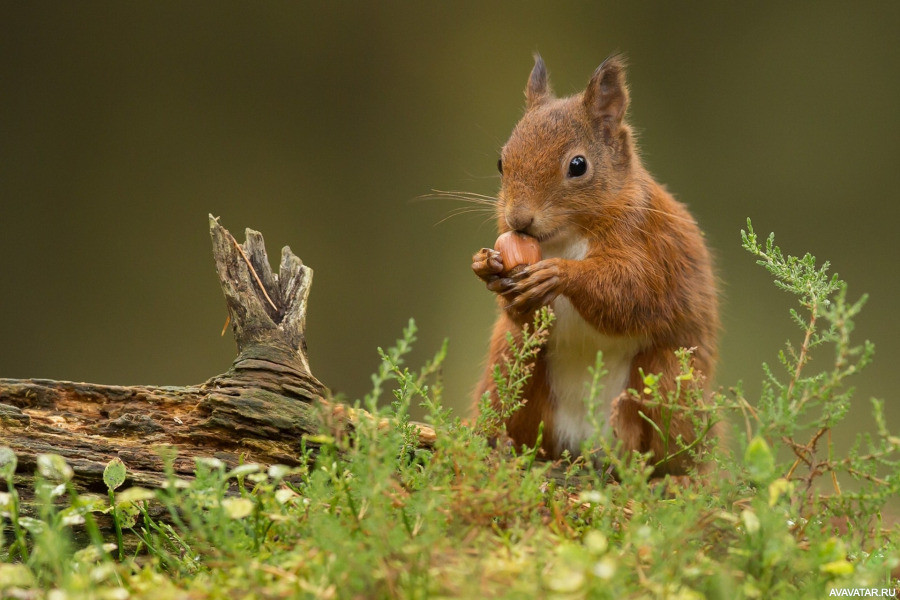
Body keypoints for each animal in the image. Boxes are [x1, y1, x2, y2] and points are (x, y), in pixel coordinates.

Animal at [472, 55, 716, 474]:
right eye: (502, 162)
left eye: (578, 165)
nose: (518, 220)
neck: (565, 237)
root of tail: (585, 444)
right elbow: (523, 315)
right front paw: (489, 268)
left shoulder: (653, 249)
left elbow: (631, 294)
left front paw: (560, 275)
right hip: (509, 364)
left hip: (669, 378)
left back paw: (675, 476)